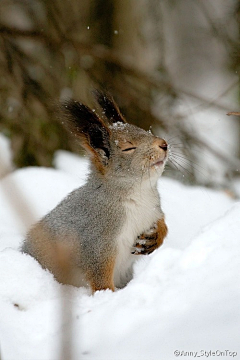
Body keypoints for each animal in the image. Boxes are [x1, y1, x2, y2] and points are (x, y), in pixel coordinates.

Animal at [21, 90, 168, 292]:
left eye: (145, 131)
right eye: (128, 148)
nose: (164, 144)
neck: (139, 194)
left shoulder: (153, 210)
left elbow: (162, 223)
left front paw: (155, 236)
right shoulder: (97, 241)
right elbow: (100, 276)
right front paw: (108, 295)